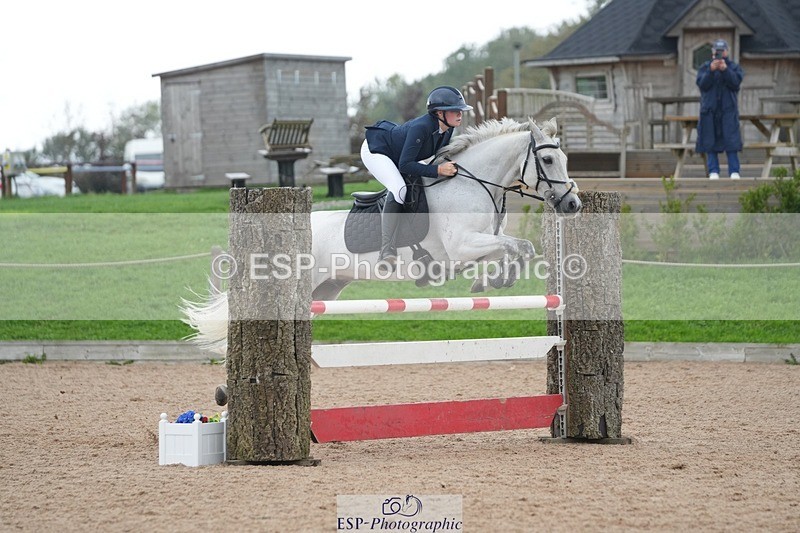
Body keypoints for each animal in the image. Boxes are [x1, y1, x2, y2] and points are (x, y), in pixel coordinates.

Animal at [181, 117, 581, 355]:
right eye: (547, 161)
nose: (573, 203)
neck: (473, 184)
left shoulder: (471, 249)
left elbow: (514, 249)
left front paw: (492, 281)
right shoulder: (460, 247)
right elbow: (519, 245)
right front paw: (497, 279)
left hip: (325, 289)